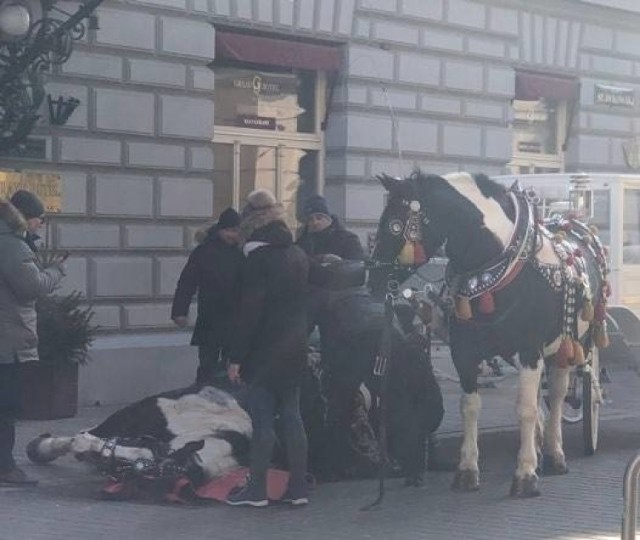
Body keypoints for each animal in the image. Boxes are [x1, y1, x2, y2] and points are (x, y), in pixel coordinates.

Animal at [370, 171, 608, 496]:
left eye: (394, 224)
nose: (372, 278)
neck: (498, 268)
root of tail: (572, 225)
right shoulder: (464, 351)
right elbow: (470, 407)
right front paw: (467, 469)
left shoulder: (531, 349)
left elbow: (525, 409)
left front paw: (525, 474)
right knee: (542, 398)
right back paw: (539, 446)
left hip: (573, 344)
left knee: (558, 395)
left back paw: (555, 454)